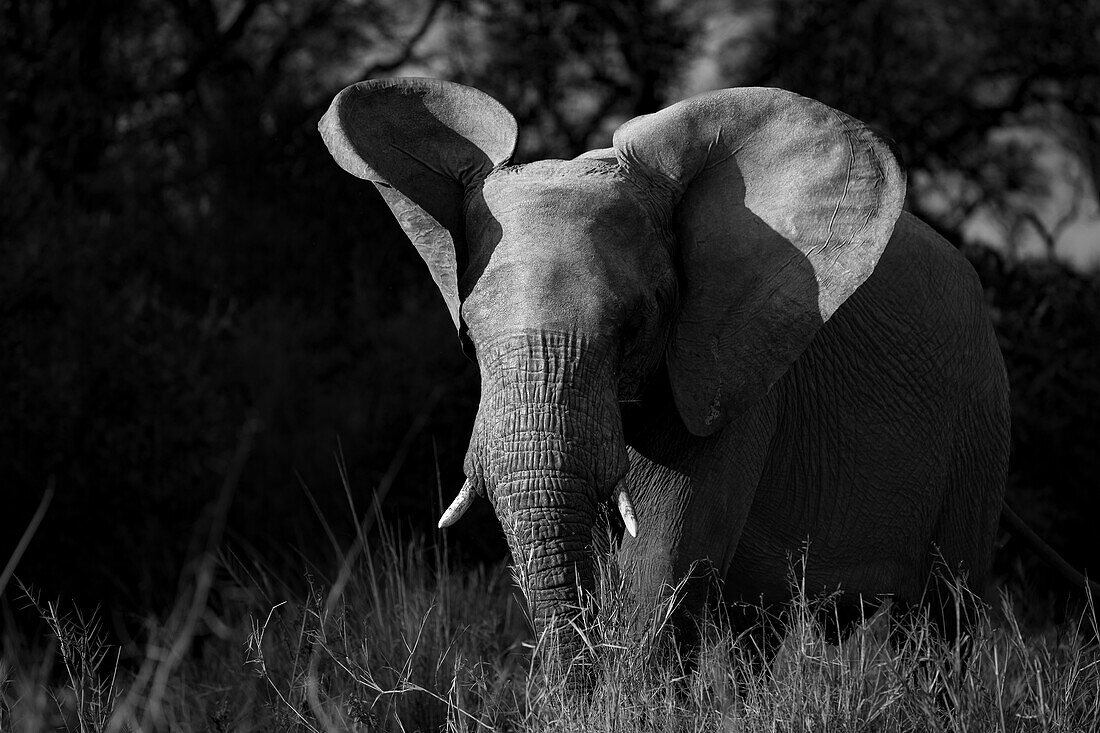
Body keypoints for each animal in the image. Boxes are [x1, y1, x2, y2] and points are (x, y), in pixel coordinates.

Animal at [316, 78, 1007, 655]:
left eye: (633, 326)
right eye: (469, 338)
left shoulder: (725, 373)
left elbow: (658, 571)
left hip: (978, 422)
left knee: (945, 619)